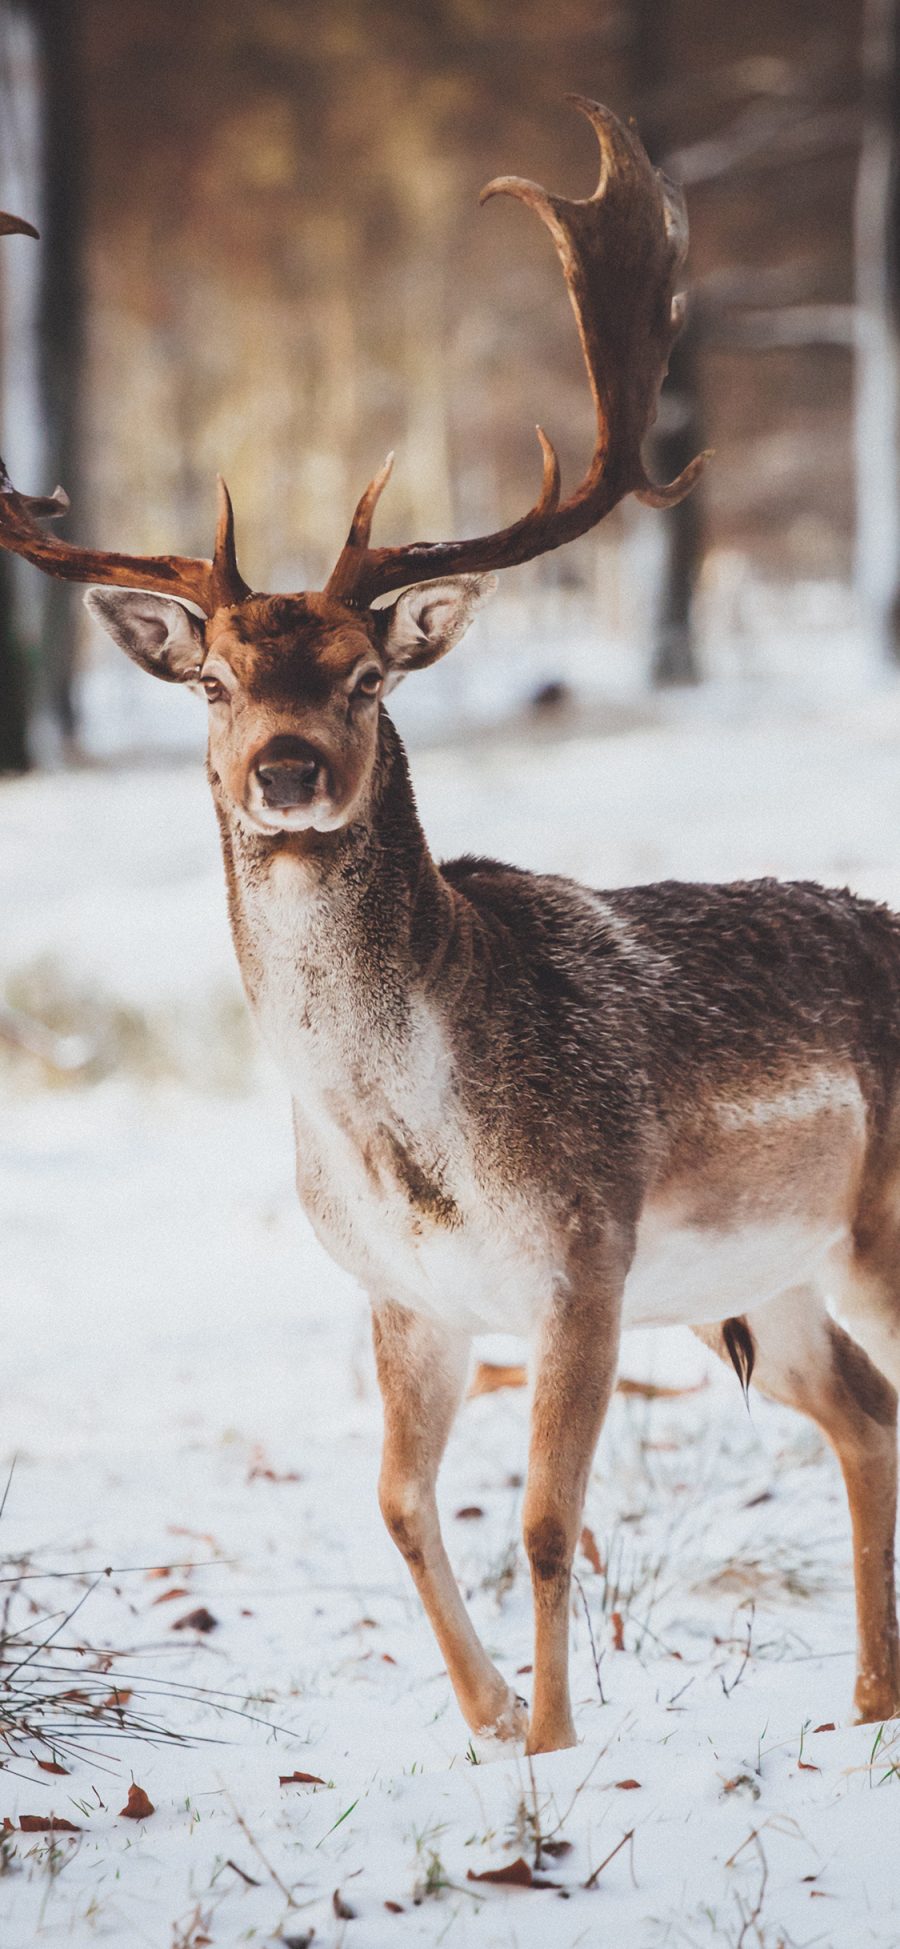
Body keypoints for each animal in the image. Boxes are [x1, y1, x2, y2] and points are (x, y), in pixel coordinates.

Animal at [1, 98, 900, 1761]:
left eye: (365, 674)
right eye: (215, 679)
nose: (286, 770)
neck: (404, 1143)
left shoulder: (586, 1251)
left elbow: (544, 1519)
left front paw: (548, 1749)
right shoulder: (400, 1292)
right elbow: (400, 1501)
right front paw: (485, 1722)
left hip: (865, 1223)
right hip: (760, 1278)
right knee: (862, 1409)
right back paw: (872, 1703)